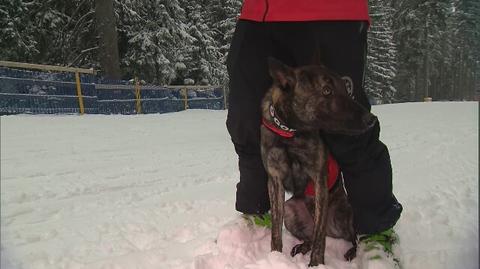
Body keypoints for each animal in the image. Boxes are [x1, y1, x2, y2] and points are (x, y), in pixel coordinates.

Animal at [260, 57, 376, 264]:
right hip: (290, 212)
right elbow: (275, 231)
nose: (371, 119)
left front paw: (316, 264)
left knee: (349, 236)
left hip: (342, 216)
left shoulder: (319, 180)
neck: (291, 133)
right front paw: (275, 257)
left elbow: (319, 237)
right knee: (310, 236)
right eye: (327, 90)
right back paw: (302, 246)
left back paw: (352, 251)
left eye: (345, 89)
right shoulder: (275, 181)